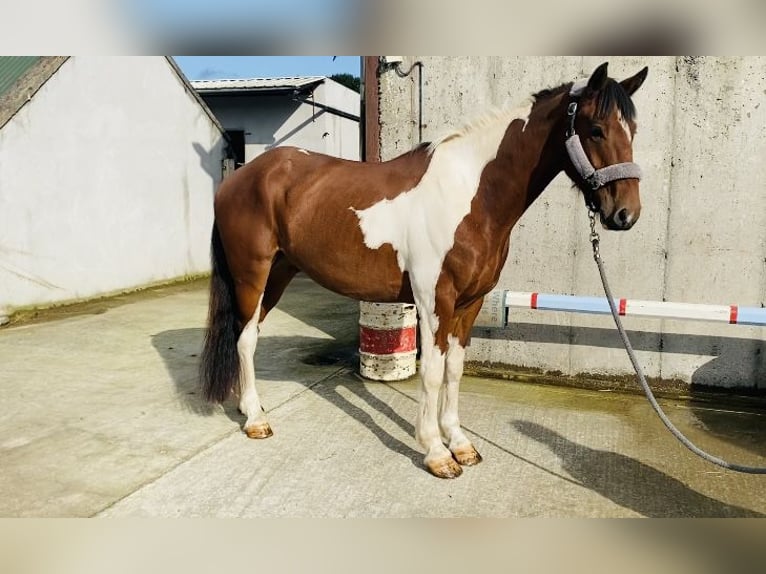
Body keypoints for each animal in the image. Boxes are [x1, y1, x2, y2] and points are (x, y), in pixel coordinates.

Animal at [201, 60, 652, 480]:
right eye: (596, 129)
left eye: (632, 129)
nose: (625, 214)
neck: (471, 194)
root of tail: (239, 177)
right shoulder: (435, 300)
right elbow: (433, 373)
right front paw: (436, 452)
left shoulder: (470, 304)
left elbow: (454, 371)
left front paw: (461, 443)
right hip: (251, 276)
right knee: (245, 340)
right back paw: (256, 420)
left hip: (278, 275)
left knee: (247, 335)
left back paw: (250, 406)